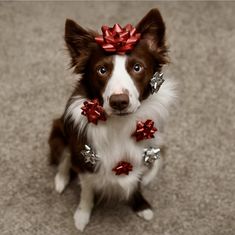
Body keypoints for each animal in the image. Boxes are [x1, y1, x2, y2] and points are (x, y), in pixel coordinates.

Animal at [48, 8, 175, 231]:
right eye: (102, 70)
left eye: (137, 67)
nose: (119, 102)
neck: (120, 124)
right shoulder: (85, 157)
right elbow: (87, 190)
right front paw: (82, 215)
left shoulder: (143, 153)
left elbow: (137, 182)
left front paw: (141, 206)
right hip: (60, 131)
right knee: (65, 158)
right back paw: (61, 180)